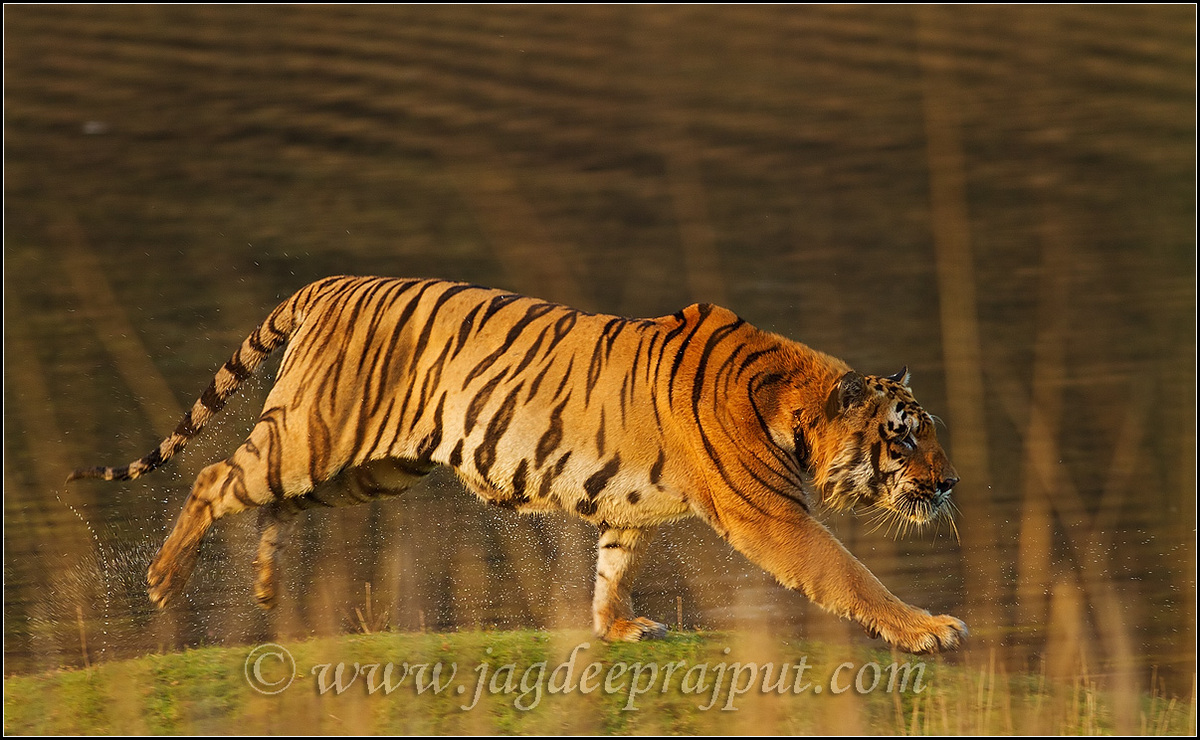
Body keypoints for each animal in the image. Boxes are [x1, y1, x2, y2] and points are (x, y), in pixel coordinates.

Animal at [69, 275, 967, 653]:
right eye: (904, 437)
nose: (949, 482)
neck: (790, 400)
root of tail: (327, 283)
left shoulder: (630, 507)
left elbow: (612, 567)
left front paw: (619, 627)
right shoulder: (772, 517)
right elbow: (852, 577)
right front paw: (928, 629)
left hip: (369, 468)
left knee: (272, 505)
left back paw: (260, 590)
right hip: (312, 438)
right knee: (214, 478)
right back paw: (164, 582)